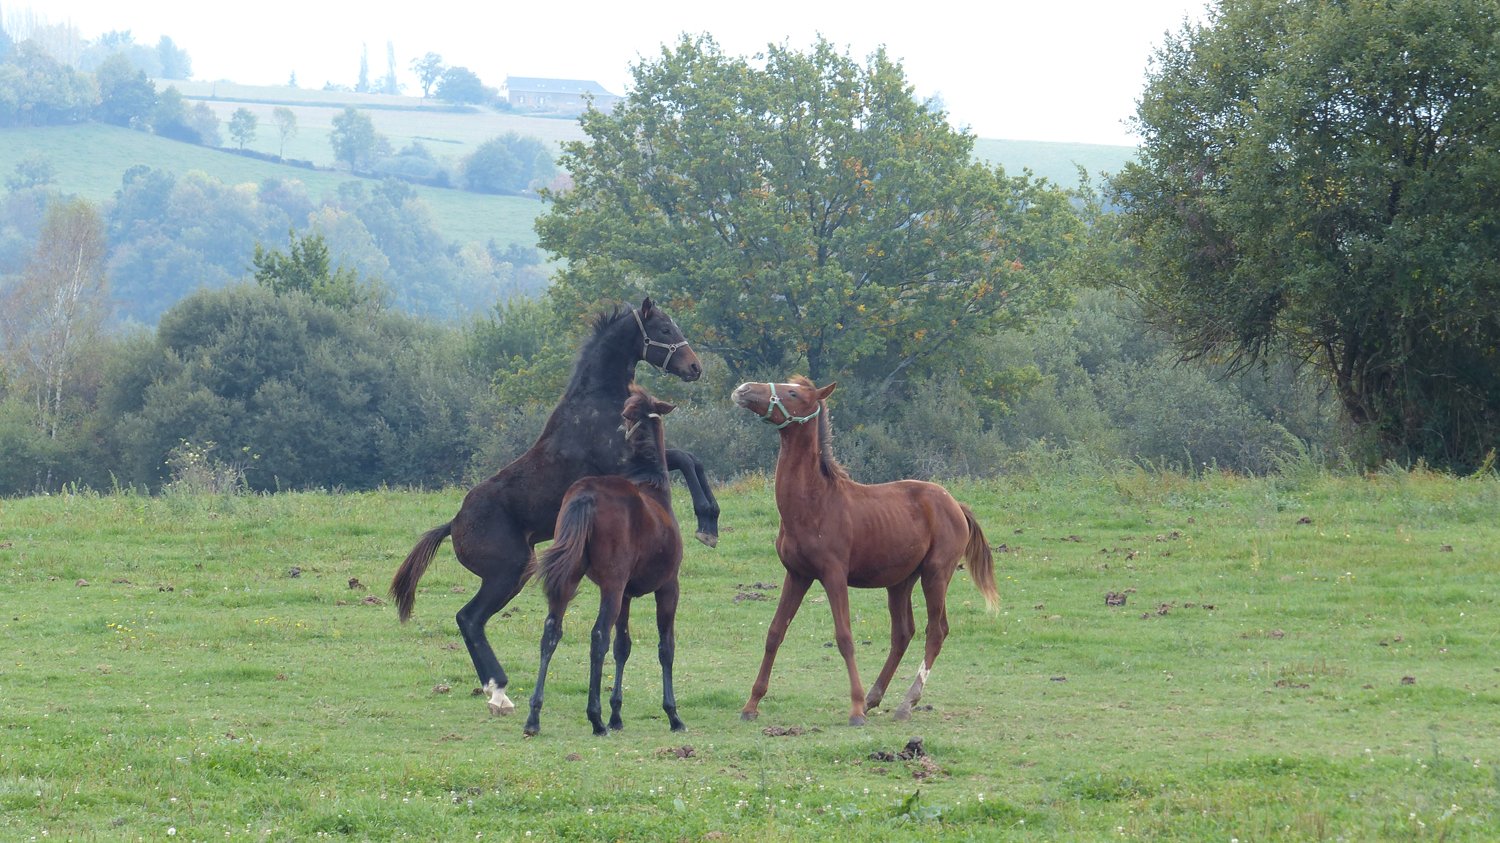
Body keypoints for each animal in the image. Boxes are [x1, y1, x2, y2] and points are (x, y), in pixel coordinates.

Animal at [523, 385, 686, 737]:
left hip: (571, 579)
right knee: (598, 636)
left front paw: (617, 713)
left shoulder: (626, 594)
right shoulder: (668, 586)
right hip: (611, 586)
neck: (652, 488)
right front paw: (672, 714)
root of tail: (586, 494)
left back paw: (534, 717)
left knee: (551, 632)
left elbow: (623, 646)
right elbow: (665, 647)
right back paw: (595, 718)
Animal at [731, 376, 999, 726]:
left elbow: (844, 637)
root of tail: (956, 505)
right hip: (900, 582)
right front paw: (751, 704)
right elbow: (775, 632)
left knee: (936, 631)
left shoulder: (833, 575)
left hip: (936, 574)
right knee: (903, 633)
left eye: (793, 392)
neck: (813, 504)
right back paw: (876, 696)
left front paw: (855, 709)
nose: (744, 389)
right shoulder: (797, 575)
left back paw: (905, 702)